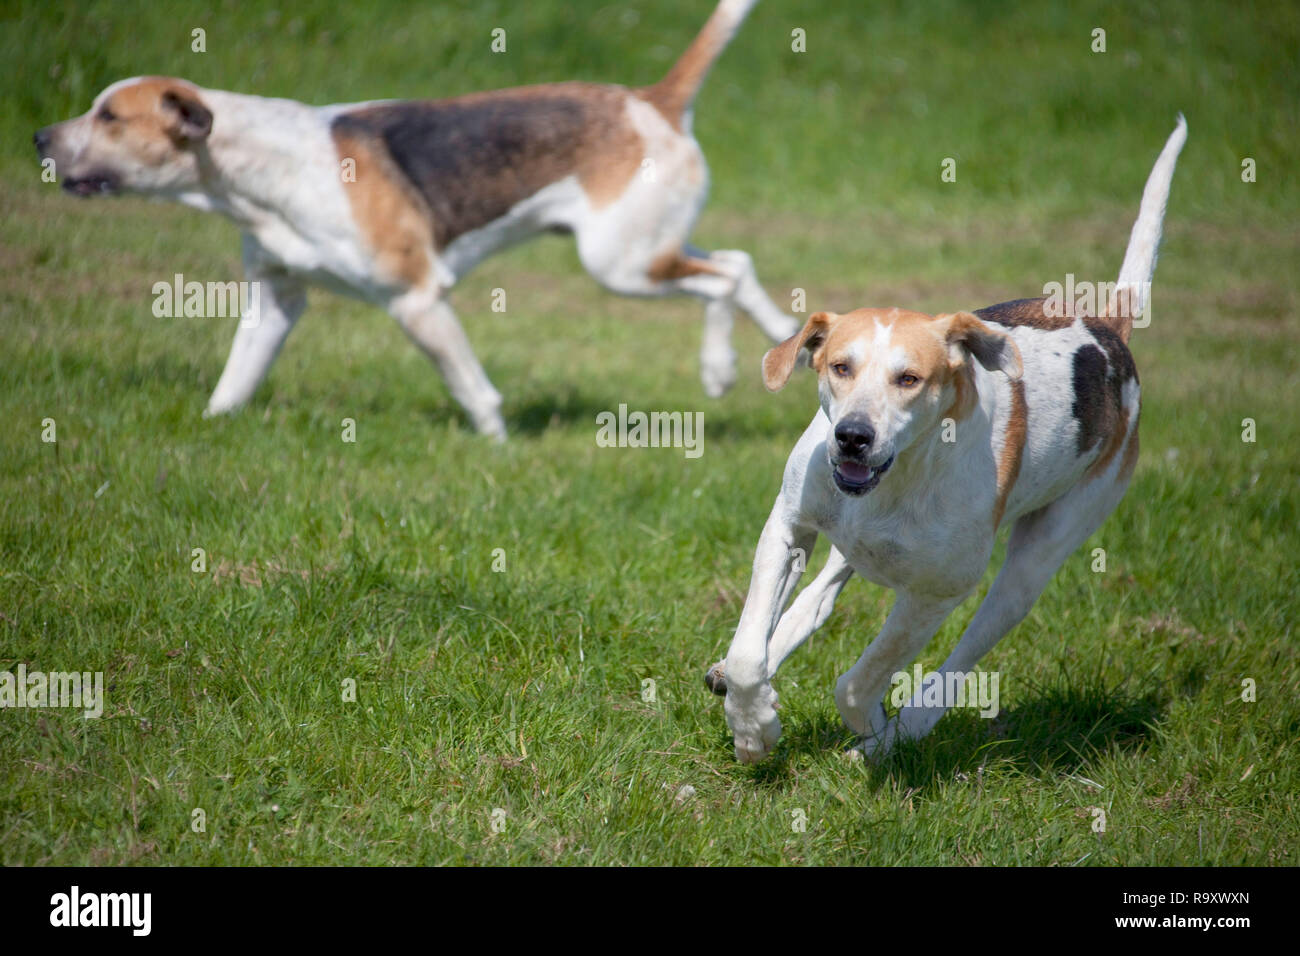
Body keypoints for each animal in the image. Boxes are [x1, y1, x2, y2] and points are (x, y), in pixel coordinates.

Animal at [32, 0, 790, 437]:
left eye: (109, 117)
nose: (39, 138)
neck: (257, 170)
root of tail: (652, 99)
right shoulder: (276, 300)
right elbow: (235, 380)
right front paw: (213, 425)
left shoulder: (417, 300)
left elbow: (474, 392)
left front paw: (497, 448)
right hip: (646, 247)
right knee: (736, 266)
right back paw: (774, 337)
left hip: (619, 263)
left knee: (722, 279)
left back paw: (719, 369)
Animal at [707, 117, 1185, 764]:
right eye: (839, 367)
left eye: (910, 379)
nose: (852, 436)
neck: (900, 480)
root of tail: (1108, 329)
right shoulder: (788, 525)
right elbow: (748, 653)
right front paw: (754, 727)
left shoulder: (937, 593)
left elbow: (859, 681)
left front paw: (870, 732)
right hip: (847, 542)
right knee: (822, 593)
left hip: (1031, 567)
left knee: (959, 662)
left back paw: (901, 733)